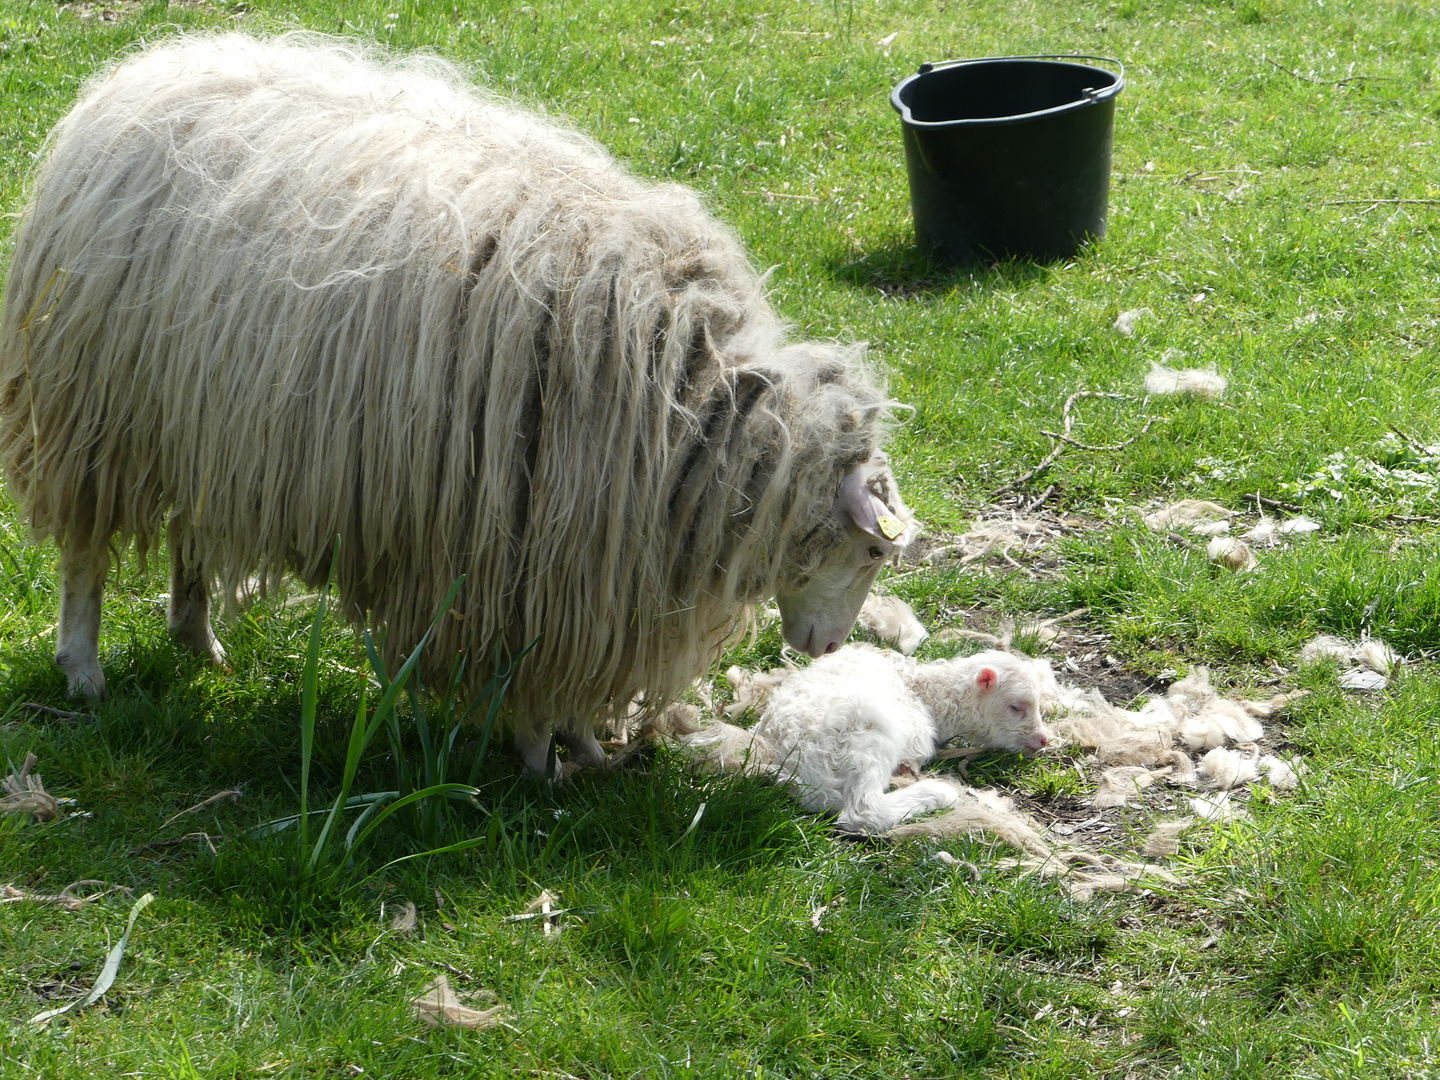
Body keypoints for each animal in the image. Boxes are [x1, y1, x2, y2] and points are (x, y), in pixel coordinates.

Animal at [0, 33, 915, 771]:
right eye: (874, 550)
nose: (826, 646)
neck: (702, 415)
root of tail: (143, 70)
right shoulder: (533, 569)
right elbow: (535, 677)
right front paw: (545, 757)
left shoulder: (589, 576)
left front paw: (585, 748)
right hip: (99, 414)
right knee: (83, 555)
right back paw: (83, 670)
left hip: (204, 421)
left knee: (191, 534)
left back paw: (198, 640)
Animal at [679, 648, 1054, 835]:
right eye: (1016, 706)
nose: (1043, 740)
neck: (924, 690)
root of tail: (792, 766)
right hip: (868, 735)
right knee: (862, 812)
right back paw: (937, 792)